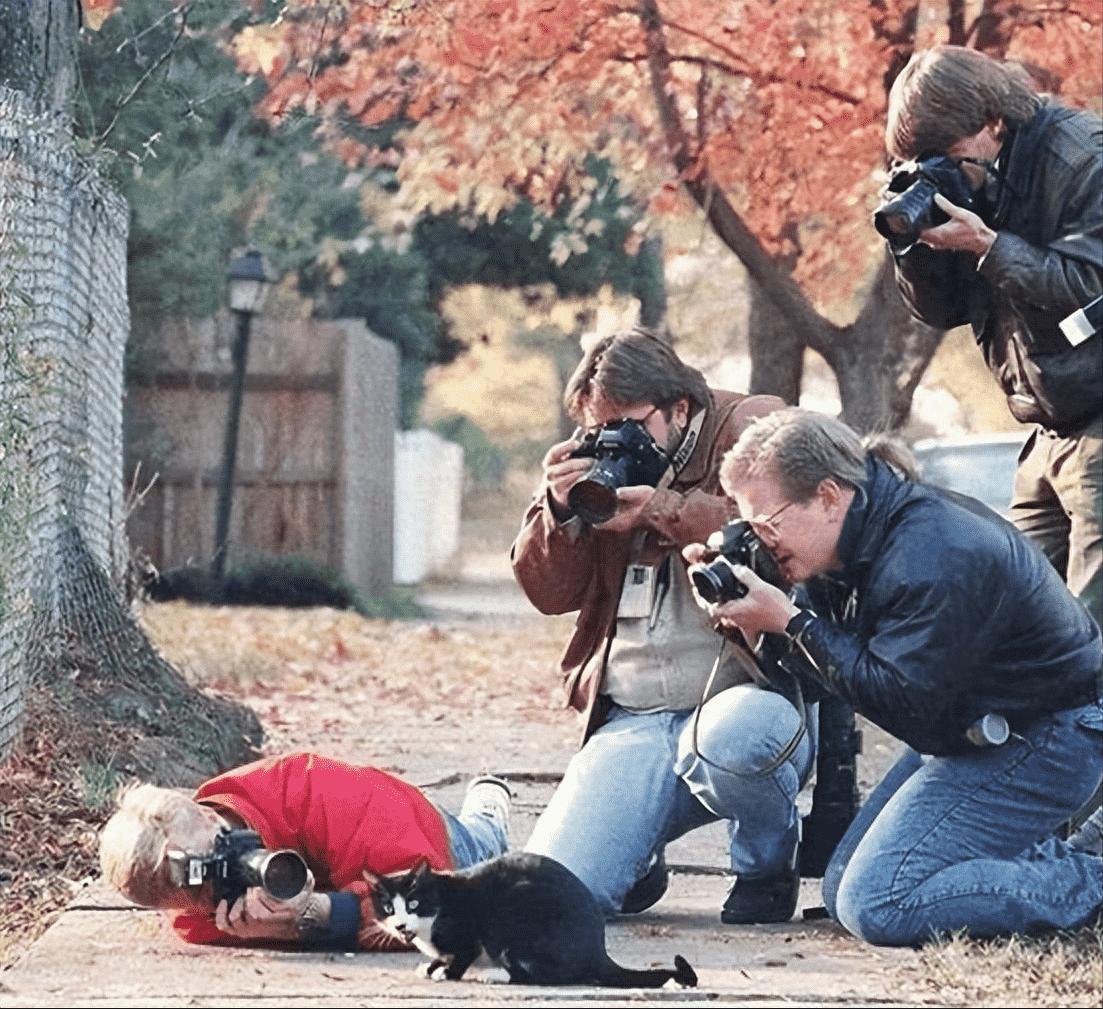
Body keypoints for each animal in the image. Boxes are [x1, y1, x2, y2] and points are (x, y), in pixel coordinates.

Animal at [370, 846, 697, 992]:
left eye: (413, 903)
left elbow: (463, 953)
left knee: (547, 975)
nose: (400, 925)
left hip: (509, 921)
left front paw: (446, 972)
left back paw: (496, 975)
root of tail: (597, 950)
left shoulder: (467, 930)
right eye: (388, 908)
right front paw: (431, 966)